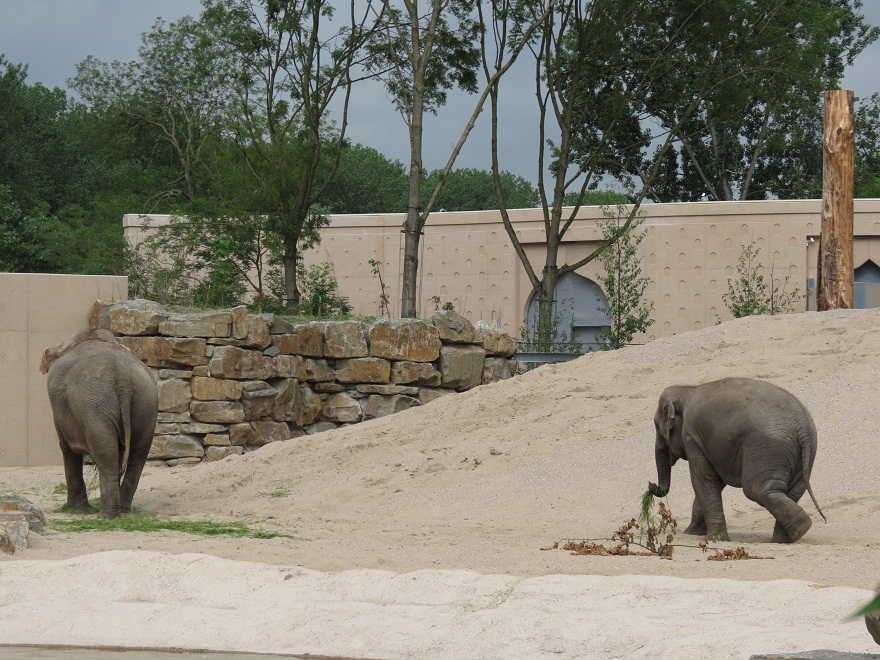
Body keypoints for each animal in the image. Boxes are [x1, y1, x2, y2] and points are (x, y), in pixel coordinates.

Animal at [41, 328, 158, 519]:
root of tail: (123, 376)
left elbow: (66, 447)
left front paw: (76, 509)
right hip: (146, 403)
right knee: (136, 454)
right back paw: (122, 510)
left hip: (95, 406)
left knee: (106, 453)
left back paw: (106, 516)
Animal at [647, 377, 825, 543]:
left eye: (656, 426)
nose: (651, 484)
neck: (687, 390)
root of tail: (804, 428)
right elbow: (715, 482)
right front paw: (692, 533)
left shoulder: (692, 437)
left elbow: (703, 479)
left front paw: (714, 539)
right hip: (802, 456)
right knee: (792, 492)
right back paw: (784, 540)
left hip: (767, 449)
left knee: (758, 490)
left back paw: (798, 530)